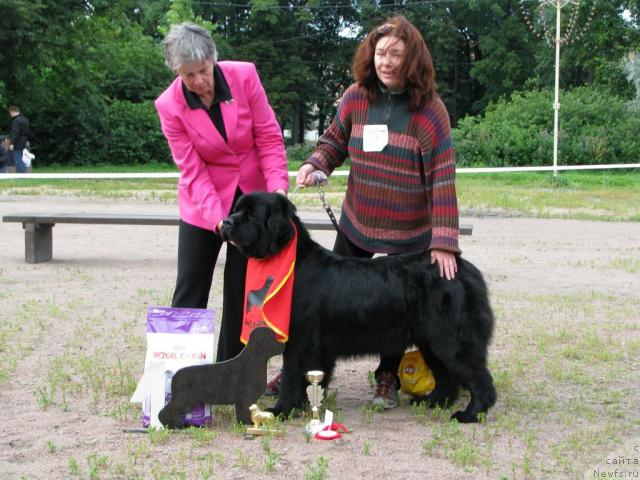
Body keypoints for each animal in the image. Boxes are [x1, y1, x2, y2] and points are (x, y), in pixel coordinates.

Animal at [222, 192, 498, 424]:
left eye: (251, 215)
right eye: (236, 210)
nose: (225, 222)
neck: (290, 262)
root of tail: (466, 270)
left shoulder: (300, 340)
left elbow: (291, 376)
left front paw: (281, 410)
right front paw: (303, 405)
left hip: (450, 337)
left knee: (478, 377)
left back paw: (470, 414)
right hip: (430, 339)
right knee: (447, 376)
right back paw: (433, 401)